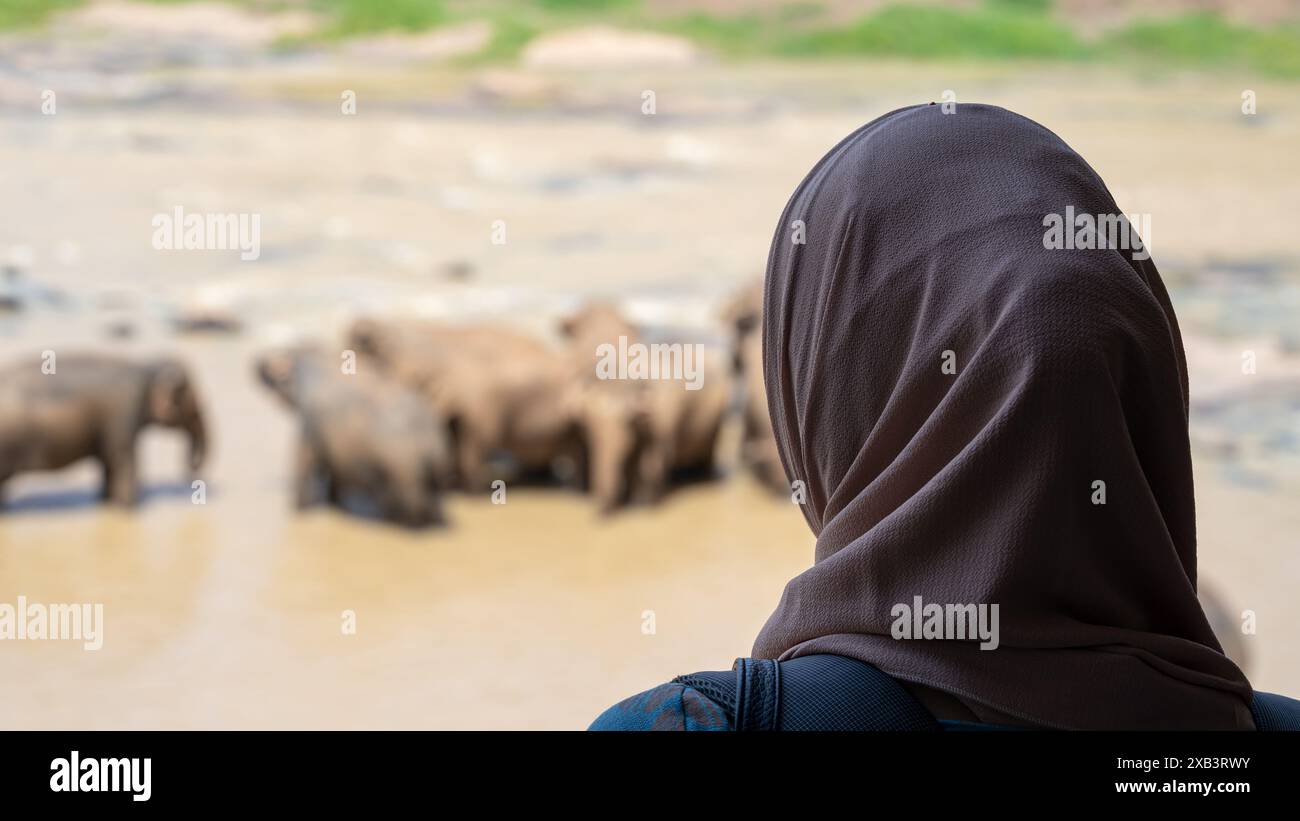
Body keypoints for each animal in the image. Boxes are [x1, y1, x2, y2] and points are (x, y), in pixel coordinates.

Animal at [0, 353, 206, 506]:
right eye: (194, 412)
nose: (192, 473)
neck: (146, 365)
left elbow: (109, 461)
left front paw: (106, 500)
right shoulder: (124, 412)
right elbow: (123, 457)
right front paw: (130, 505)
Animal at [256, 345, 454, 524]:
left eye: (271, 372)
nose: (255, 361)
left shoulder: (310, 421)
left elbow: (305, 460)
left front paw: (300, 511)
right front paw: (334, 501)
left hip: (399, 467)